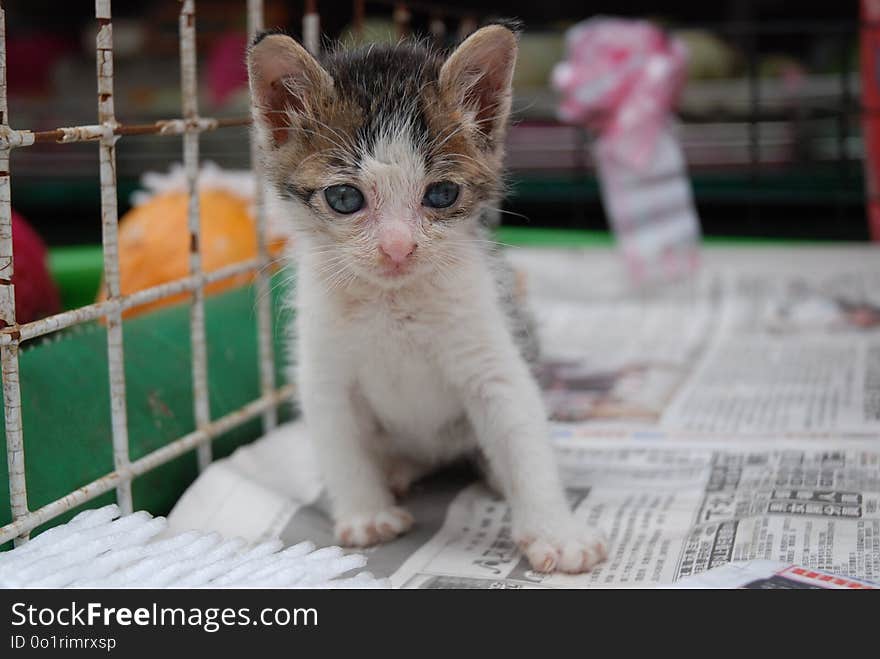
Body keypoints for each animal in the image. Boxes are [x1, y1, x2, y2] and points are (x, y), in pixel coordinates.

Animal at [246, 24, 604, 572]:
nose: (398, 248)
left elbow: (521, 429)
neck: (394, 303)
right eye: (344, 198)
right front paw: (366, 514)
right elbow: (339, 443)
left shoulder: (492, 353)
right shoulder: (323, 372)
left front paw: (556, 531)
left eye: (441, 194)